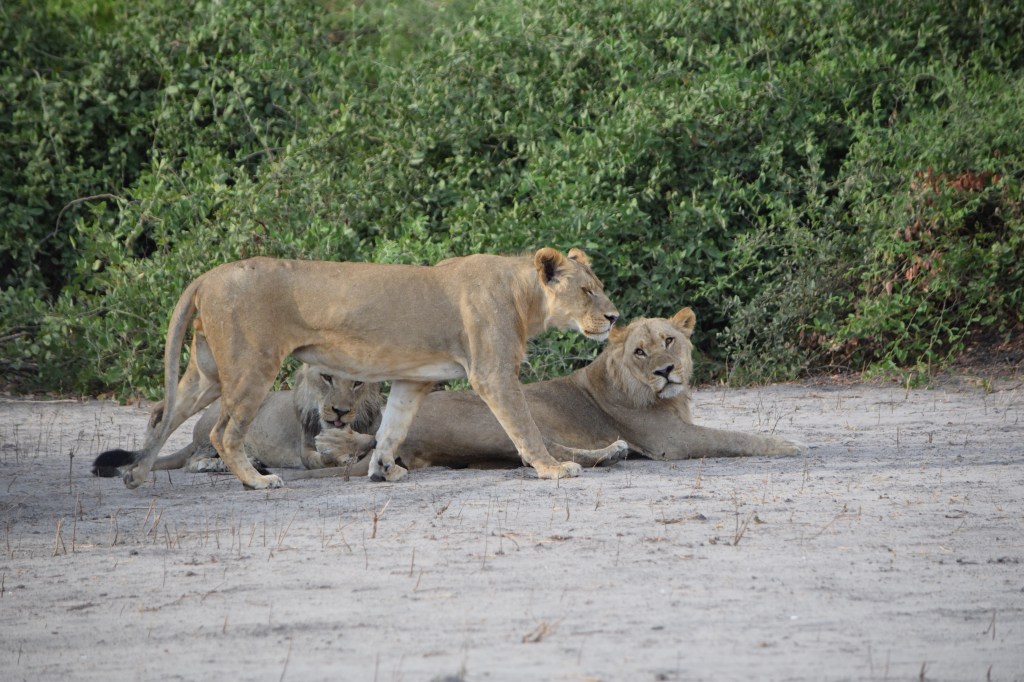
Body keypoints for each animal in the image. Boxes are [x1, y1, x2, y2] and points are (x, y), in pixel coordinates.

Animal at [91, 248, 619, 489]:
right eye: (588, 291)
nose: (614, 317)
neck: (523, 296)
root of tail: (207, 275)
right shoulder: (492, 373)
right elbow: (524, 426)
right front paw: (552, 468)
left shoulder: (413, 380)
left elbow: (392, 428)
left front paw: (384, 470)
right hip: (251, 365)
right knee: (223, 432)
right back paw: (256, 481)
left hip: (206, 373)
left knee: (164, 415)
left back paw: (135, 475)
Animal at [309, 306, 806, 477]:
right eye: (640, 352)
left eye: (669, 341)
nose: (666, 371)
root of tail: (381, 433)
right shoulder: (673, 442)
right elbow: (735, 438)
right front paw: (789, 444)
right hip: (499, 417)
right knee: (539, 452)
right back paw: (612, 452)